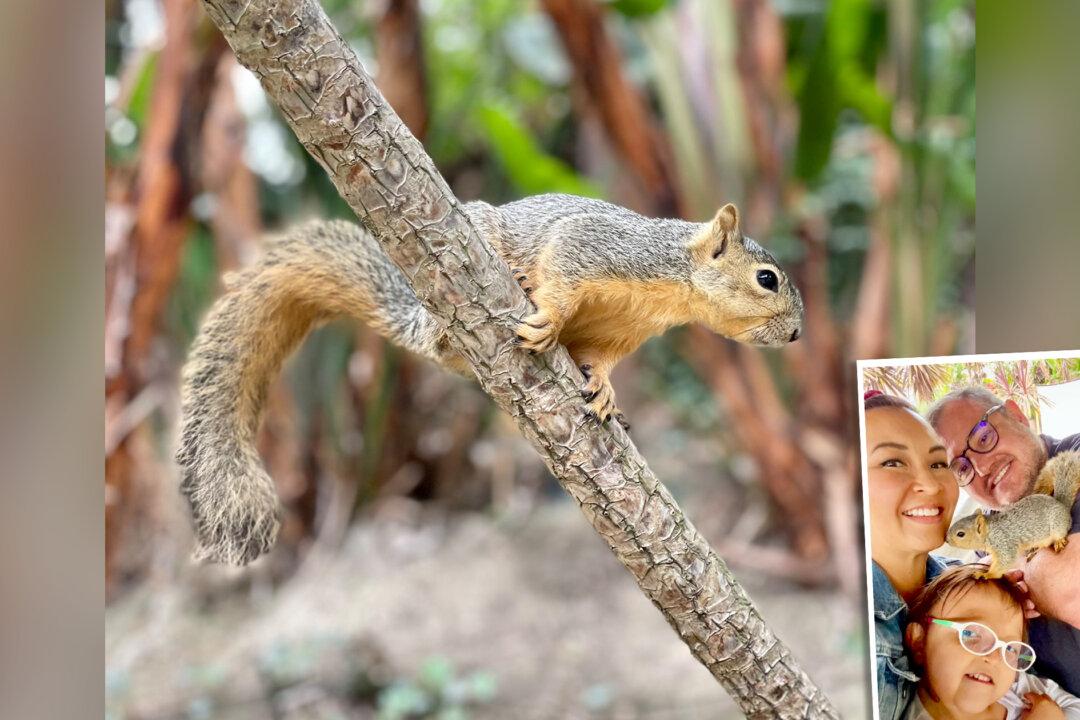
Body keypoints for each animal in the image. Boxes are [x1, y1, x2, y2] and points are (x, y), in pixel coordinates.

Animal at [177, 193, 804, 564]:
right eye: (767, 279)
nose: (798, 335)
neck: (672, 285)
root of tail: (419, 321)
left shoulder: (620, 334)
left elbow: (600, 359)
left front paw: (604, 390)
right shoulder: (594, 247)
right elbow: (562, 277)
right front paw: (547, 316)